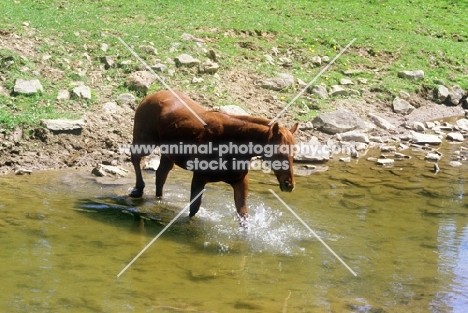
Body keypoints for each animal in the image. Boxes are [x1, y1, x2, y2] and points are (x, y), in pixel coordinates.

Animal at [129, 91, 296, 219]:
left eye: (294, 152)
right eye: (279, 152)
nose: (289, 185)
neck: (231, 144)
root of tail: (150, 96)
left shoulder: (240, 182)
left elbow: (243, 215)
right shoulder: (199, 178)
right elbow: (193, 211)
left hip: (168, 154)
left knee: (161, 176)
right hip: (146, 142)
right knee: (135, 157)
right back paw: (138, 189)